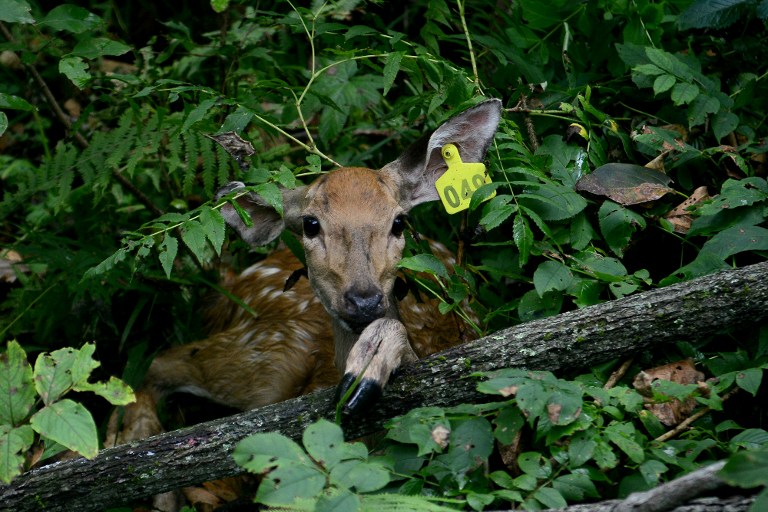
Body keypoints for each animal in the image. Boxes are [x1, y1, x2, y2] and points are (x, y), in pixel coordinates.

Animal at [107, 98, 502, 509]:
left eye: (399, 222)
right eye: (311, 224)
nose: (364, 300)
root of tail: (234, 282)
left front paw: (369, 365)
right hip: (264, 355)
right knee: (157, 362)